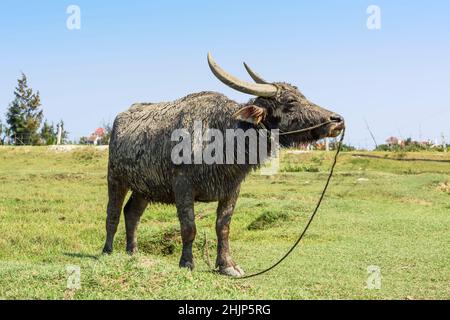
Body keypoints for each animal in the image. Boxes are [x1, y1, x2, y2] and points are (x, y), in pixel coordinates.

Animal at [102, 53, 342, 276]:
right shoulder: (182, 187)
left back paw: (132, 252)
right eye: (291, 101)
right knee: (113, 212)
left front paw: (227, 265)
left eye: (302, 96)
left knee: (132, 213)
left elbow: (223, 227)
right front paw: (187, 263)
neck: (221, 135)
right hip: (116, 178)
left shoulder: (232, 189)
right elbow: (189, 227)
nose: (337, 120)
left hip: (144, 188)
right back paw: (107, 251)